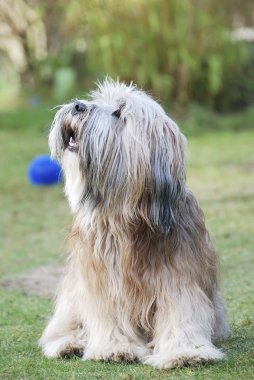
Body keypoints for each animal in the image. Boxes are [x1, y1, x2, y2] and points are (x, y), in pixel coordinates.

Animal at [39, 78, 230, 368]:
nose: (78, 106)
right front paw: (114, 348)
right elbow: (110, 315)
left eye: (119, 113)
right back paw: (71, 343)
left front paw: (186, 351)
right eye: (97, 101)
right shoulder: (103, 278)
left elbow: (181, 309)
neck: (129, 216)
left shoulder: (179, 272)